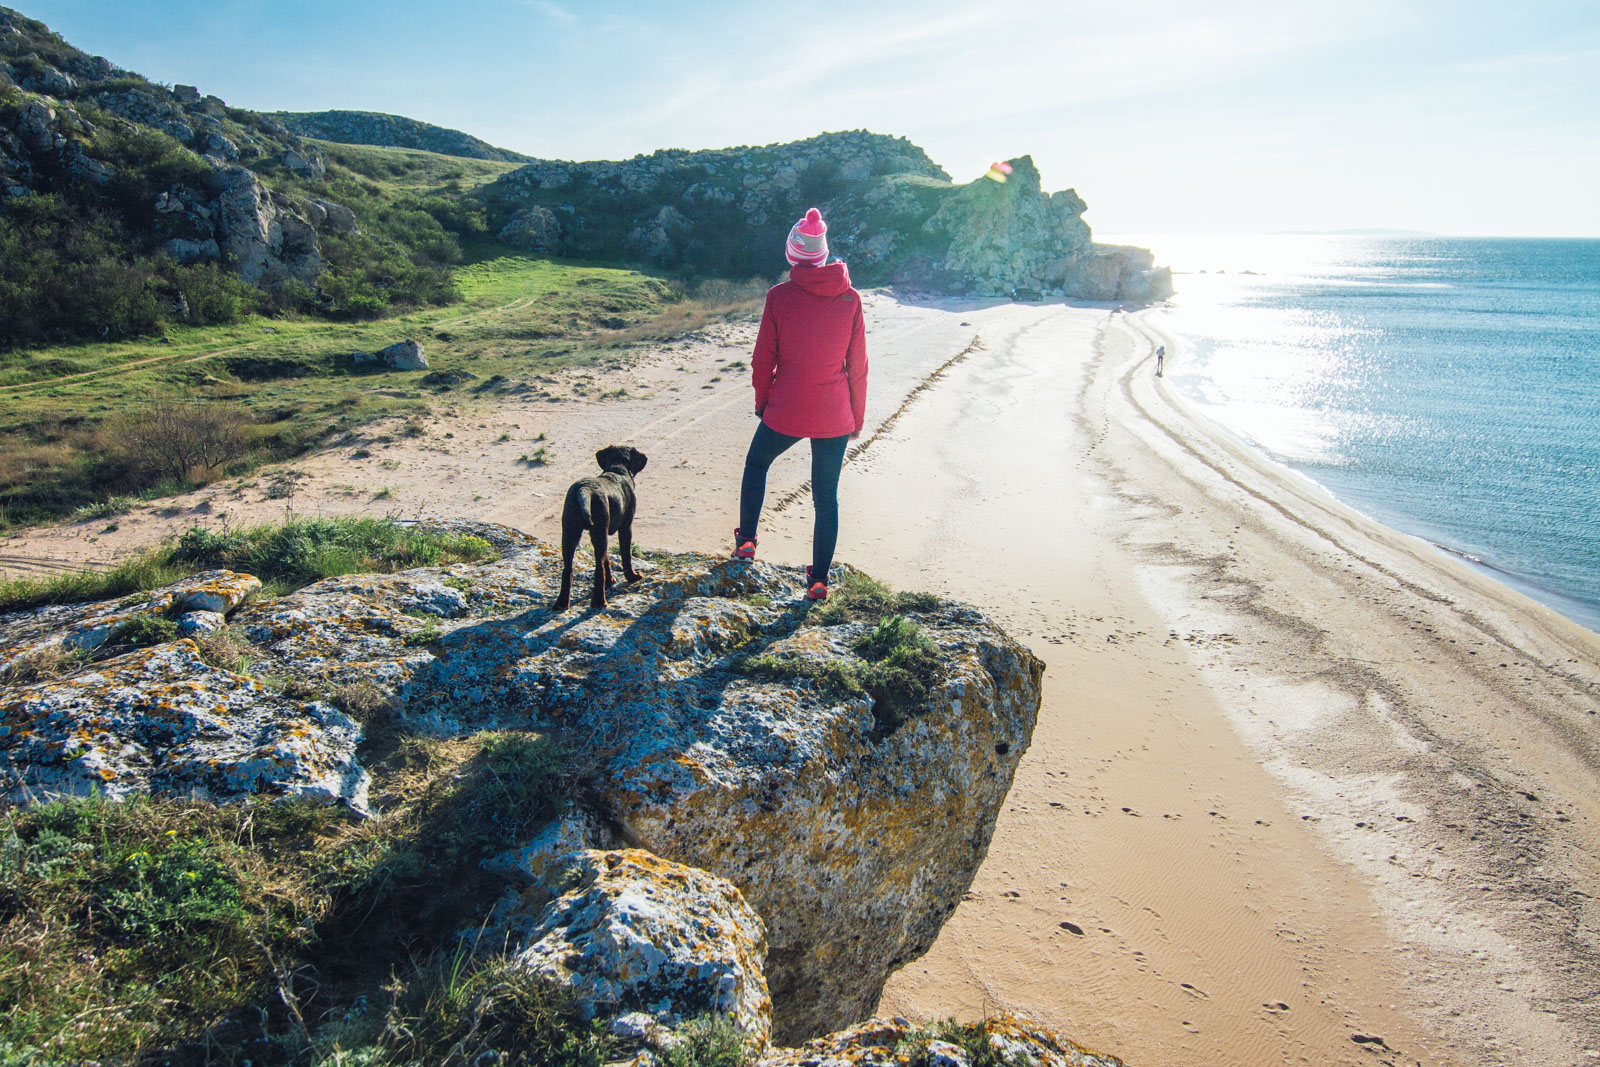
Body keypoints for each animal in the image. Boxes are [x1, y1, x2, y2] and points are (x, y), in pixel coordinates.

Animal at [553, 441, 646, 607]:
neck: (617, 469)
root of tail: (584, 490)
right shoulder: (626, 527)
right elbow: (626, 555)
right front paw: (632, 576)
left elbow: (606, 559)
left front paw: (610, 580)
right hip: (598, 531)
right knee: (598, 569)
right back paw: (599, 601)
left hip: (571, 533)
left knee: (568, 569)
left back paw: (561, 603)